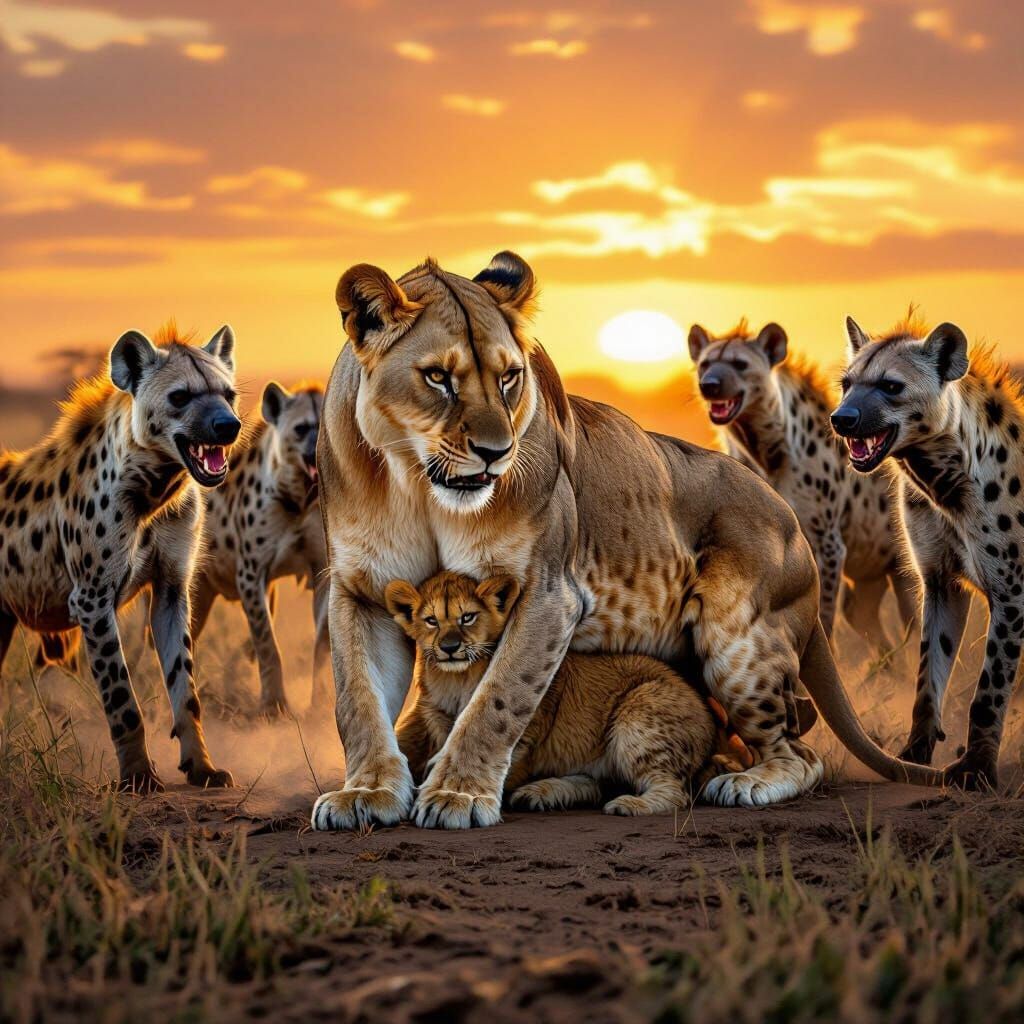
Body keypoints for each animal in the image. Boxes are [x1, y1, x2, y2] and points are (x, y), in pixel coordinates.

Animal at [311, 252, 943, 831]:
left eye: (509, 378)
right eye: (438, 377)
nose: (497, 452)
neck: (416, 482)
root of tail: (791, 524)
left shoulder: (547, 593)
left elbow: (498, 700)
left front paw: (456, 794)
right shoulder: (362, 592)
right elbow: (357, 701)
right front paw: (366, 793)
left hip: (738, 638)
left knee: (799, 748)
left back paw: (746, 784)